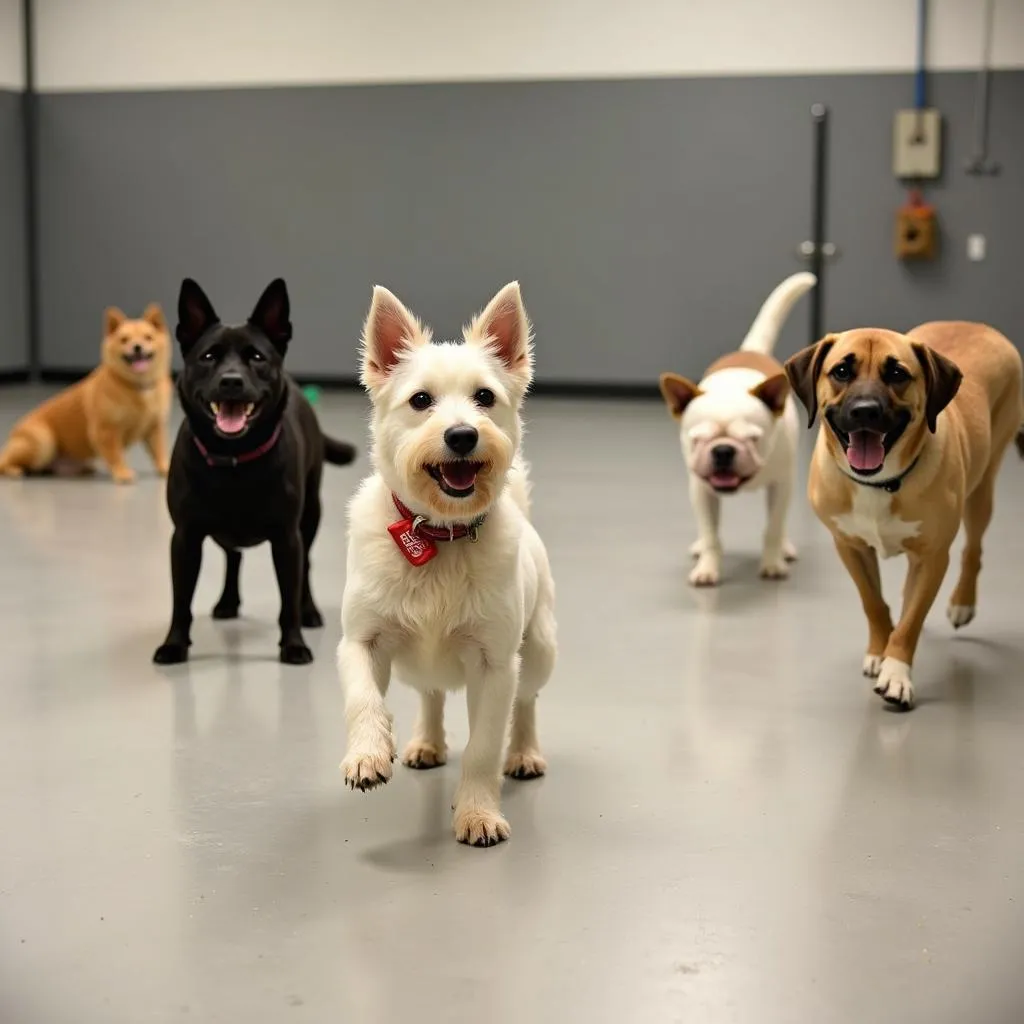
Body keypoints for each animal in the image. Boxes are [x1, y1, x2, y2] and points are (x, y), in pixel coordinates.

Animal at [0, 303, 172, 483]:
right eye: (124, 340)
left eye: (148, 337)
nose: (137, 347)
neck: (138, 386)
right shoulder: (106, 431)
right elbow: (116, 455)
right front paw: (122, 472)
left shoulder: (154, 428)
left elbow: (159, 452)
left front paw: (165, 468)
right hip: (42, 440)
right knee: (5, 464)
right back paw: (14, 470)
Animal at [152, 276, 356, 667]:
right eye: (208, 356)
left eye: (257, 357)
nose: (231, 380)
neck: (235, 459)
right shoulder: (184, 538)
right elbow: (181, 600)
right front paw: (174, 643)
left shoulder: (286, 538)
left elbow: (288, 599)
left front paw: (294, 644)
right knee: (233, 557)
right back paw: (228, 602)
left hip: (310, 517)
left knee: (306, 567)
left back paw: (309, 611)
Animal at [339, 282, 557, 847]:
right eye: (421, 400)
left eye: (484, 397)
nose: (462, 435)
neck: (439, 532)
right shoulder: (360, 642)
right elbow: (363, 699)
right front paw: (367, 754)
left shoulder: (496, 666)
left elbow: (483, 746)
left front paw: (477, 812)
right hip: (417, 665)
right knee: (432, 695)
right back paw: (426, 741)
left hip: (538, 651)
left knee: (527, 703)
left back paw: (524, 751)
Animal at [786, 323, 1019, 708]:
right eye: (841, 371)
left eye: (897, 374)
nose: (865, 411)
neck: (880, 483)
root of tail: (979, 326)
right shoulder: (850, 547)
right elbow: (873, 602)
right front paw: (880, 650)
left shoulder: (933, 557)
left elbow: (911, 622)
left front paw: (896, 672)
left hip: (982, 489)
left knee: (973, 550)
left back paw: (962, 602)